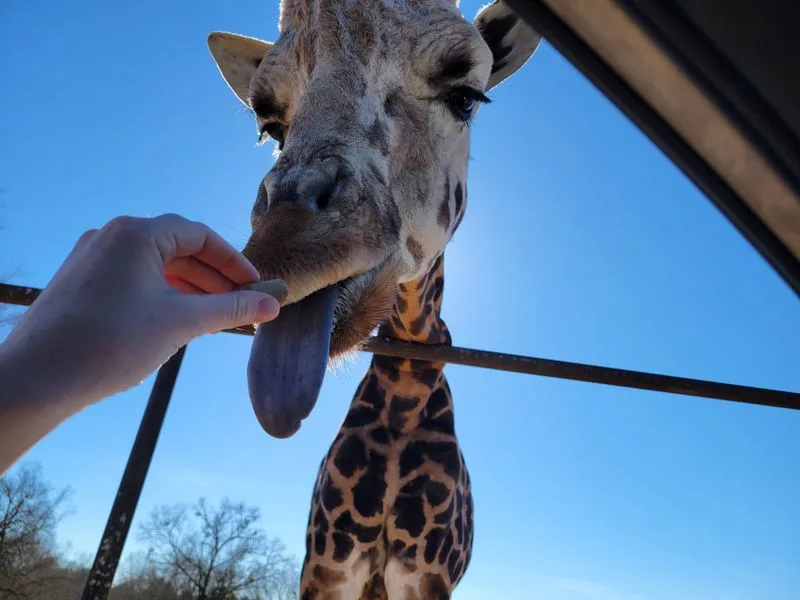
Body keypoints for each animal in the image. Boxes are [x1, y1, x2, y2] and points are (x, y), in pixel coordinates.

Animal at [207, 1, 540, 597]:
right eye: (270, 126)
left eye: (466, 96)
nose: (287, 247)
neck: (404, 394)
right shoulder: (327, 562)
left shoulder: (426, 572)